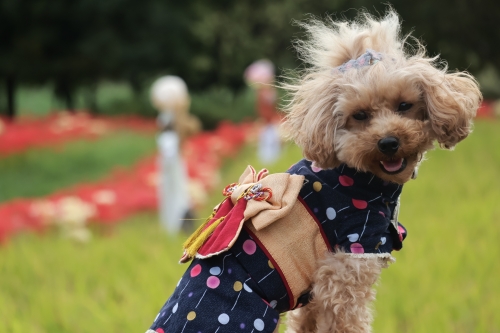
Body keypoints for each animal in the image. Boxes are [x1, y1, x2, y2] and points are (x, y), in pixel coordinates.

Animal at [146, 9, 482, 330]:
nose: (389, 142)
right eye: (359, 115)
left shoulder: (314, 292)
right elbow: (346, 322)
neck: (358, 177)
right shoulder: (349, 263)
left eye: (404, 105)